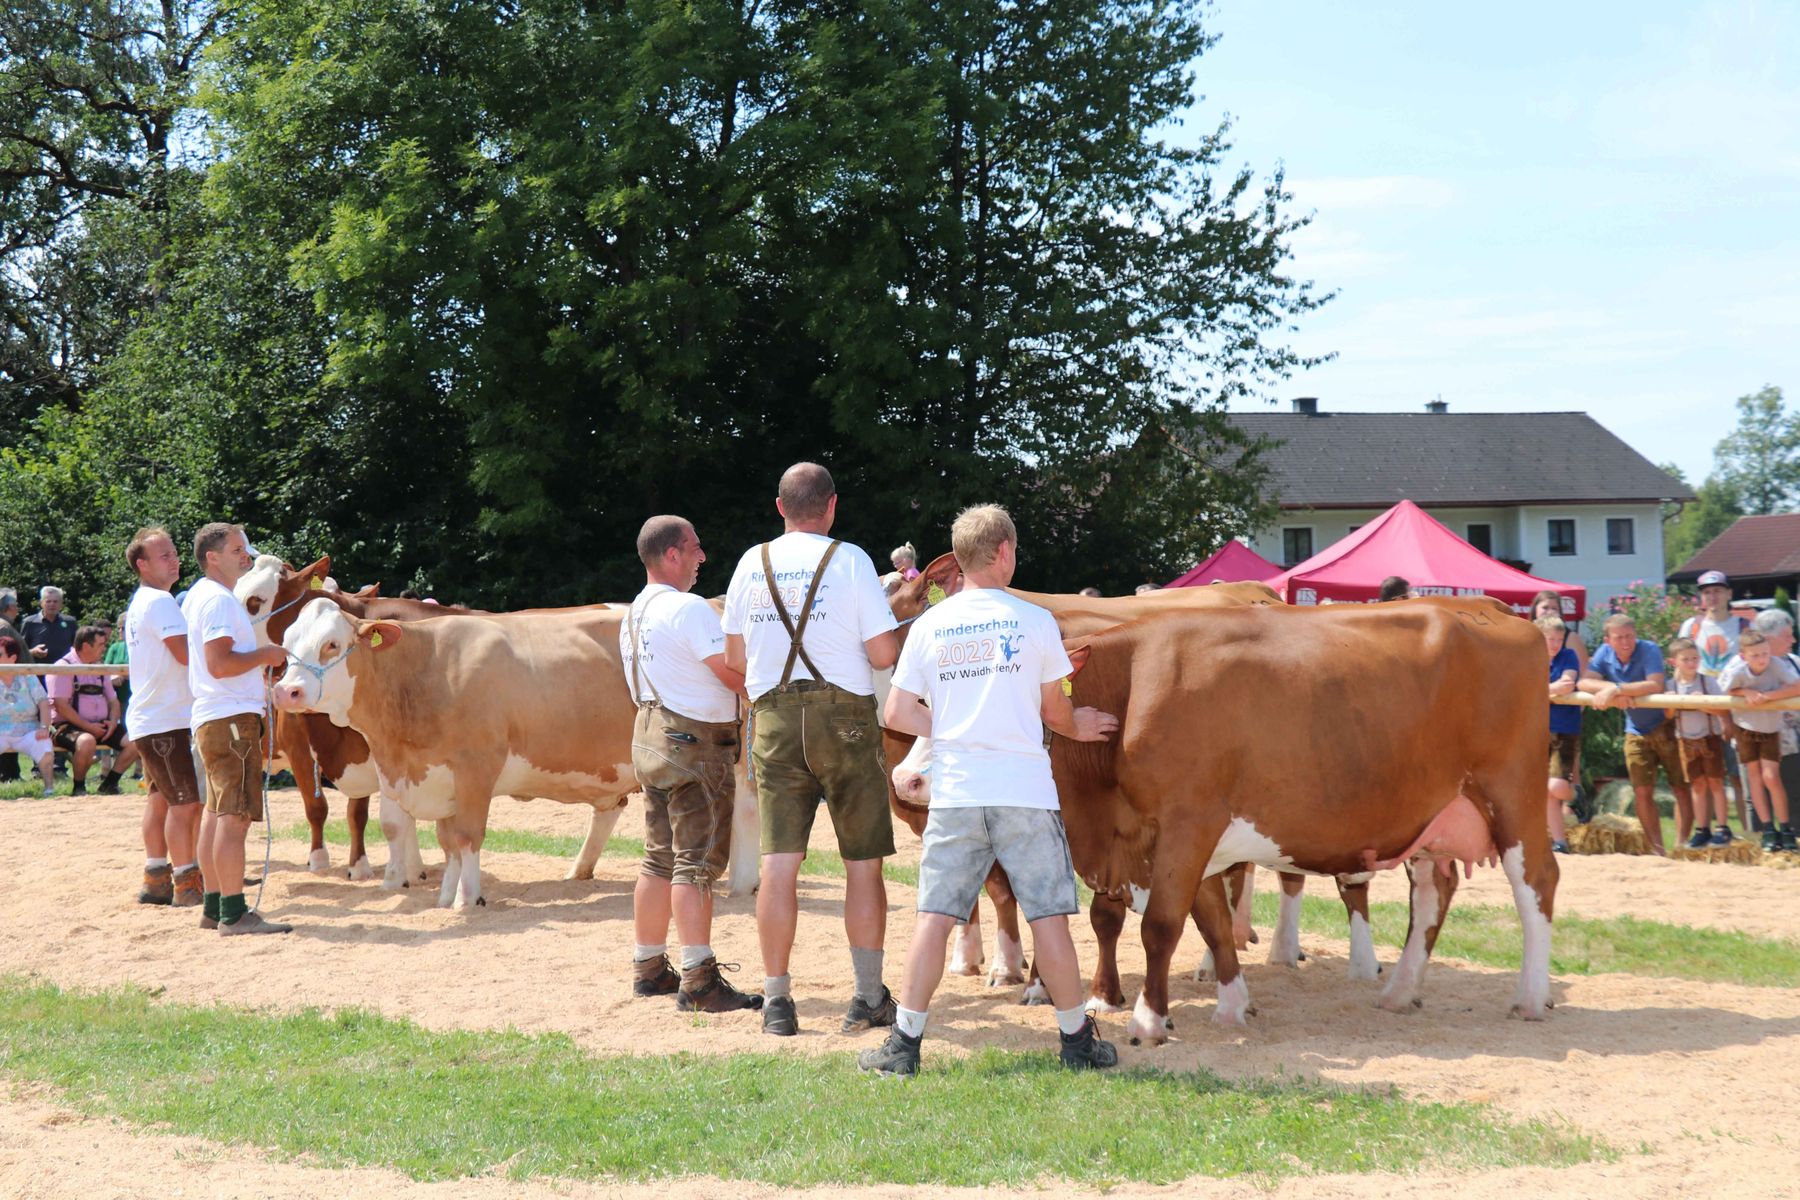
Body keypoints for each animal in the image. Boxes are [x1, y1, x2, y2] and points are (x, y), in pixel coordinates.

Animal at [270, 600, 763, 910]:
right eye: (289, 642)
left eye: (332, 643)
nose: (286, 691)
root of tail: (716, 603)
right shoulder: (431, 778)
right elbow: (445, 842)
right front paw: (445, 895)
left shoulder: (475, 769)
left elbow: (467, 836)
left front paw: (467, 900)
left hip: (735, 752)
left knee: (745, 811)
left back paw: (742, 884)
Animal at [1051, 600, 1562, 1043]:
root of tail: (1491, 609)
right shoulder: (1190, 841)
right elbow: (1214, 923)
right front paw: (1233, 1007)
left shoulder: (1187, 823)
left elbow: (1162, 925)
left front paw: (1149, 1022)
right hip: (1431, 815)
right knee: (1433, 891)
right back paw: (1399, 993)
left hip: (1513, 792)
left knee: (1536, 880)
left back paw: (1530, 999)